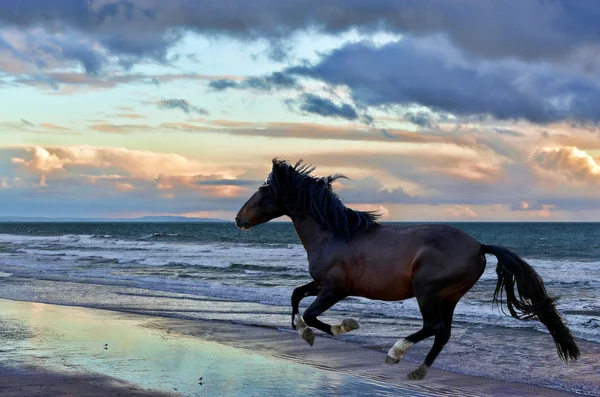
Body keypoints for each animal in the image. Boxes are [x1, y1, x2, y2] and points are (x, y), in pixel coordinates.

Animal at [236, 157, 580, 378]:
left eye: (263, 191)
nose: (239, 219)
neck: (333, 234)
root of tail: (478, 246)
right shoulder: (321, 285)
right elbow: (296, 296)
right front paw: (305, 332)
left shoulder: (336, 289)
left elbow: (310, 313)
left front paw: (340, 327)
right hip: (449, 297)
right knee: (443, 333)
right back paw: (419, 370)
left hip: (427, 291)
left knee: (433, 327)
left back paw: (395, 353)